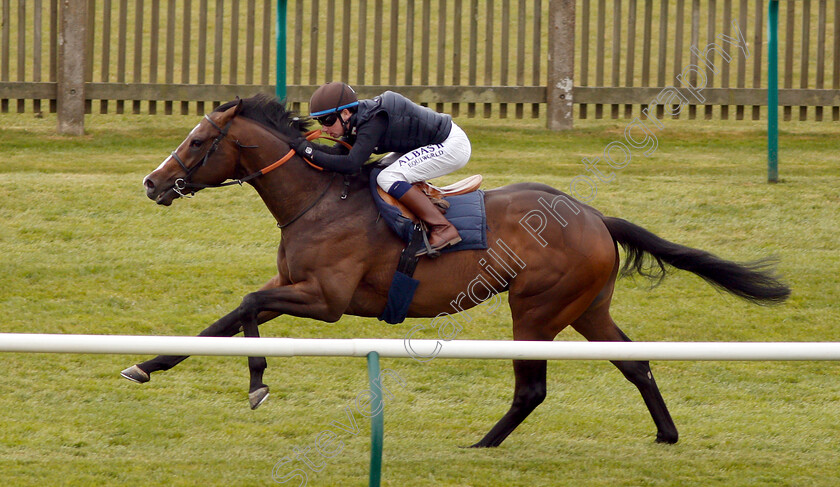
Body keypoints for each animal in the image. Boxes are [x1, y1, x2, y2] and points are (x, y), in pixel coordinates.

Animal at [124, 93, 788, 448]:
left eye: (198, 141)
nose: (152, 183)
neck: (319, 199)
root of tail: (595, 216)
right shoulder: (297, 288)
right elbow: (228, 317)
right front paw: (145, 364)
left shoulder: (325, 299)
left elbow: (246, 307)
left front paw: (258, 382)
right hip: (586, 309)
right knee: (635, 363)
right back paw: (666, 433)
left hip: (536, 310)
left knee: (533, 387)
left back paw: (483, 443)